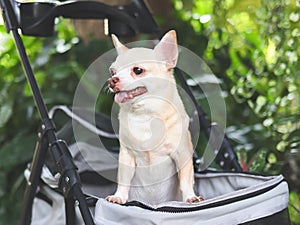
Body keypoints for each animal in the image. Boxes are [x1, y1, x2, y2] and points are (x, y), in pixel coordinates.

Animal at [105, 30, 202, 205]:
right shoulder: (127, 155)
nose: (111, 80)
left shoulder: (183, 154)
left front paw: (190, 196)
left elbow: (185, 179)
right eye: (113, 72)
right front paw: (119, 196)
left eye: (138, 70)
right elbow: (123, 179)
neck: (145, 115)